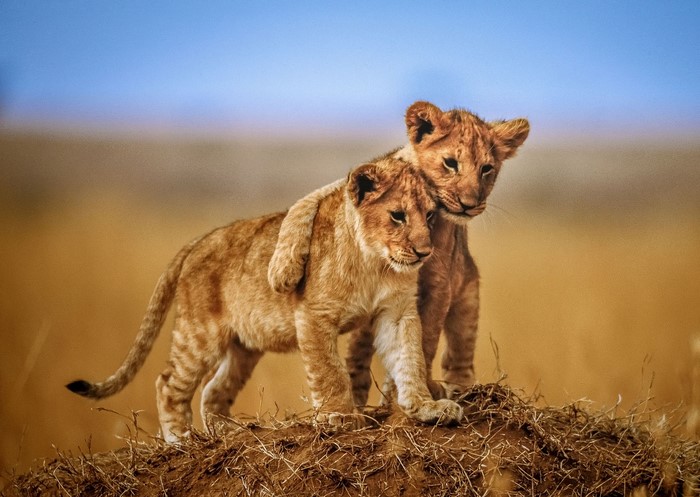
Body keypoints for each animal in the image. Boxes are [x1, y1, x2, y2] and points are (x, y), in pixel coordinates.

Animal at [66, 156, 463, 442]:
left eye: (430, 215)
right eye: (397, 216)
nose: (424, 252)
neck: (375, 263)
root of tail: (199, 240)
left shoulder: (396, 313)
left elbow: (410, 358)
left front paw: (426, 407)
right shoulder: (314, 314)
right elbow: (330, 371)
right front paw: (340, 416)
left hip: (244, 346)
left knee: (213, 391)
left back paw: (230, 433)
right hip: (200, 334)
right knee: (168, 384)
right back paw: (181, 441)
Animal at [268, 101, 530, 405]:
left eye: (487, 169)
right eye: (451, 163)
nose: (469, 204)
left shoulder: (439, 284)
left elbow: (425, 340)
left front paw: (415, 391)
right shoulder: (352, 186)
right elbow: (304, 204)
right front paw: (282, 271)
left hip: (467, 296)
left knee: (458, 354)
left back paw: (459, 390)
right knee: (358, 352)